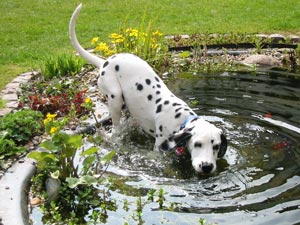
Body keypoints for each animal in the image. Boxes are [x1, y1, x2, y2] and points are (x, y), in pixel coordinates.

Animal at [68, 3, 227, 174]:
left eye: (216, 146)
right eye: (198, 144)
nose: (207, 167)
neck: (180, 119)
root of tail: (105, 61)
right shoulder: (159, 149)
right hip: (115, 97)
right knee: (116, 129)